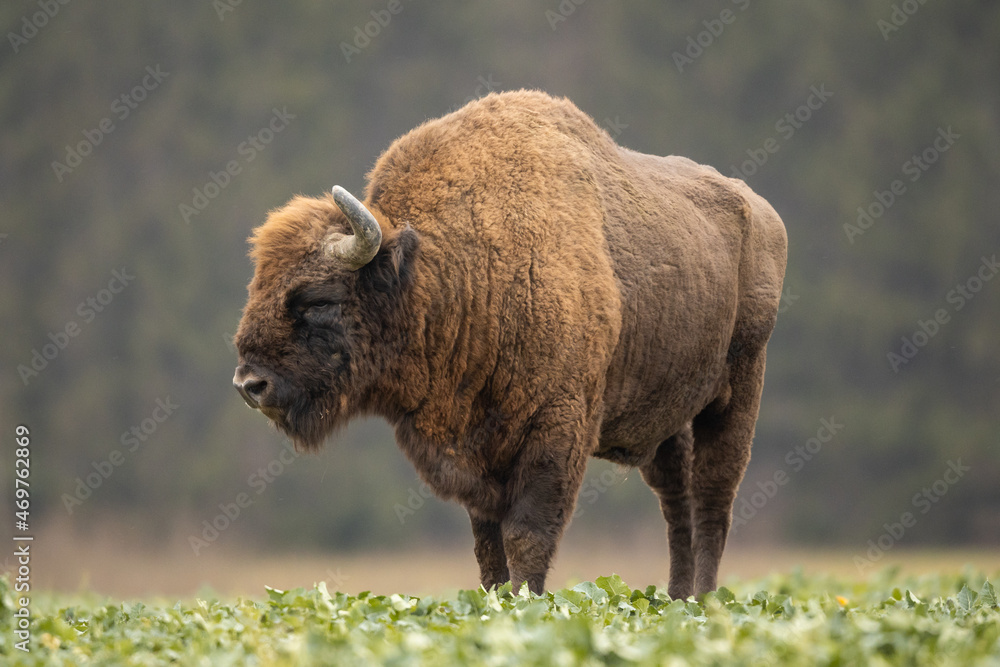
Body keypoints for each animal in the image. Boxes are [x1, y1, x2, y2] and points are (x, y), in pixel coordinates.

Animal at [233, 90, 787, 598]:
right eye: (257, 285)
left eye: (319, 298)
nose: (249, 383)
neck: (454, 268)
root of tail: (761, 212)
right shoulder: (474, 452)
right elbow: (487, 544)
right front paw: (497, 599)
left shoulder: (555, 432)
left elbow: (528, 534)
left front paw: (526, 602)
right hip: (667, 418)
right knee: (676, 502)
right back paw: (675, 597)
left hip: (738, 390)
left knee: (713, 497)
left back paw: (704, 600)